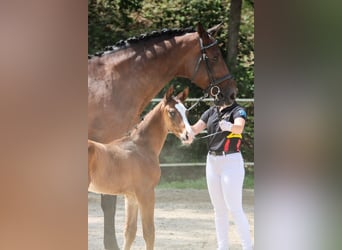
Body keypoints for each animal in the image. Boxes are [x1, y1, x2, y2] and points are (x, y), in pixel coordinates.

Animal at [88, 86, 192, 250]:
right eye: (172, 112)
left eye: (187, 111)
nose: (189, 135)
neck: (141, 147)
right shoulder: (146, 193)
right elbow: (149, 233)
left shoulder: (131, 196)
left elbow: (129, 232)